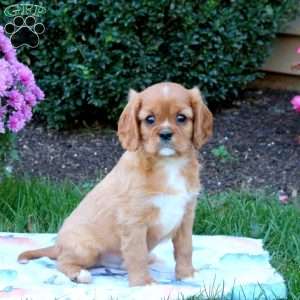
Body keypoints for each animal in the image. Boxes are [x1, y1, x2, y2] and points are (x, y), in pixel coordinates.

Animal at [18, 81, 213, 286]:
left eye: (181, 118)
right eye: (150, 119)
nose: (166, 134)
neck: (168, 164)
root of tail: (58, 245)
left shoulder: (186, 217)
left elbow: (185, 248)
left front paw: (187, 274)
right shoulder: (134, 222)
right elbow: (137, 254)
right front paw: (144, 283)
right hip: (85, 249)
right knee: (61, 262)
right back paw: (79, 274)